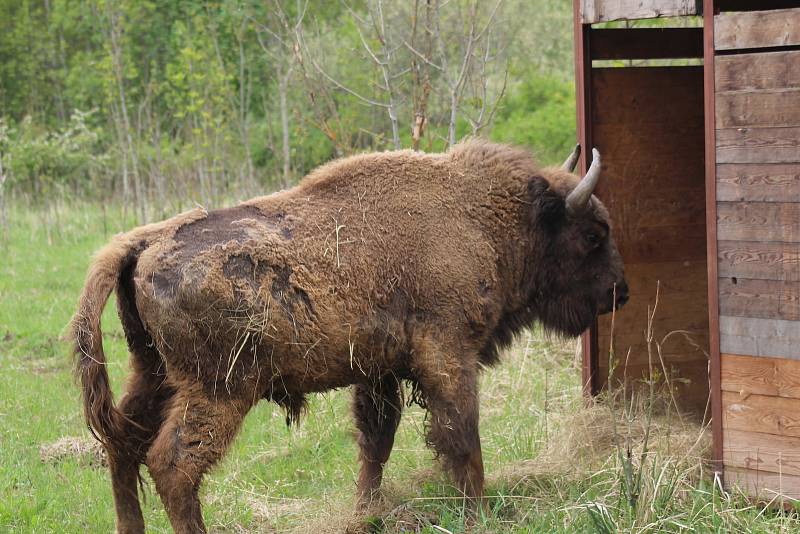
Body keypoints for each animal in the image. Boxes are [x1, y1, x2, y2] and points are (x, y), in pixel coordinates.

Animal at [70, 140, 624, 532]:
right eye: (592, 234)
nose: (620, 291)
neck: (479, 218)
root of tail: (141, 242)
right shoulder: (447, 355)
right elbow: (461, 436)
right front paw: (480, 514)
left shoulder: (379, 372)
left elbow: (377, 441)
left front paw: (367, 511)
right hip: (218, 389)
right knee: (173, 464)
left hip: (153, 372)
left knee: (123, 445)